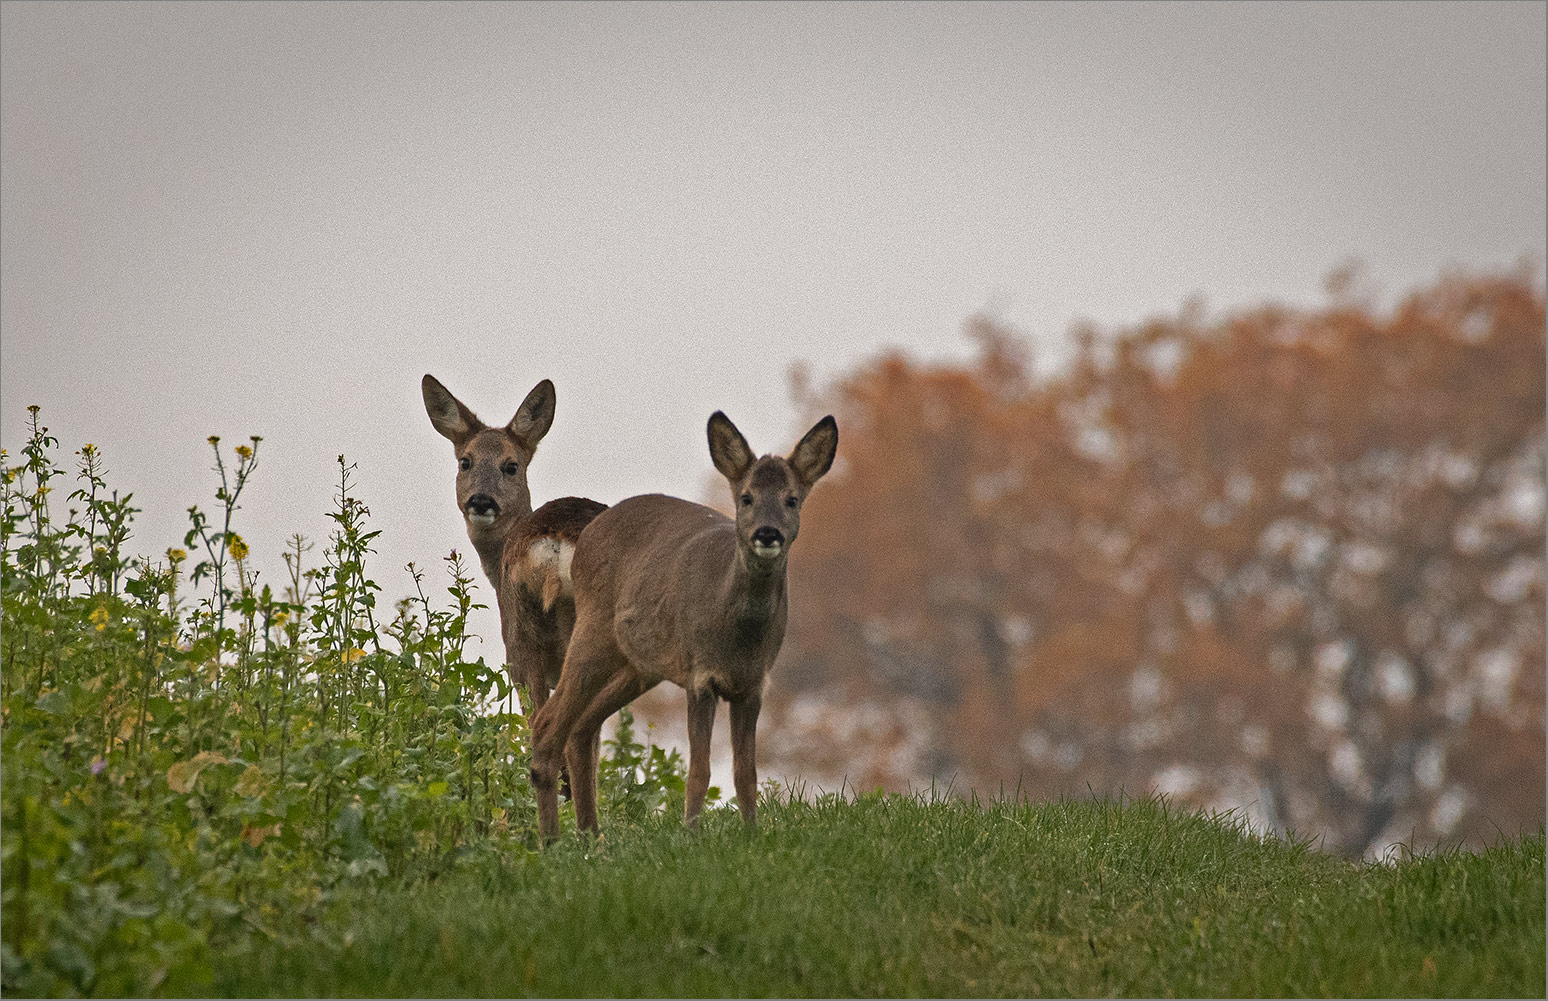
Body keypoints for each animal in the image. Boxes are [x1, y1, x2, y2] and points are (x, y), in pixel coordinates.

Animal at [535, 411, 848, 841]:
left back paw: (591, 836)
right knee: (547, 722)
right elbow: (698, 772)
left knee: (581, 727)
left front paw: (751, 834)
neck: (738, 637)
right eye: (746, 497)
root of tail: (585, 536)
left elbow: (746, 773)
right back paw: (550, 839)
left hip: (641, 664)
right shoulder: (701, 677)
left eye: (792, 499)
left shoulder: (754, 684)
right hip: (593, 631)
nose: (767, 533)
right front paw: (691, 836)